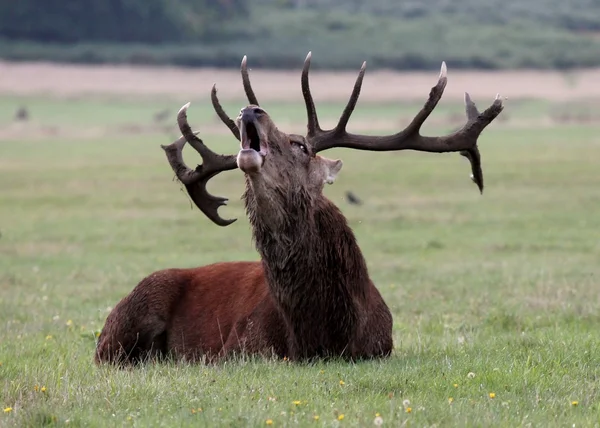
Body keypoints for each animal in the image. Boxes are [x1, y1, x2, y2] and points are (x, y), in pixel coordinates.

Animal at [96, 51, 504, 362]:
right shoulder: (236, 351)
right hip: (127, 321)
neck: (319, 335)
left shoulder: (380, 348)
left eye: (301, 145)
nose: (251, 110)